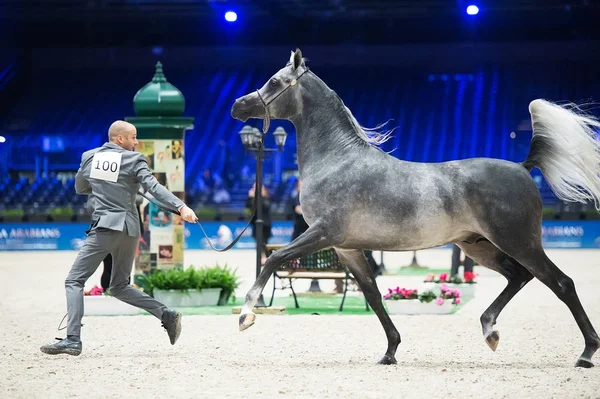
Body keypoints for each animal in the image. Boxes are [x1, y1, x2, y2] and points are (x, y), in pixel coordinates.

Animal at [230, 48, 600, 368]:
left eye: (275, 82)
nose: (237, 106)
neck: (337, 160)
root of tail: (523, 168)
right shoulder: (346, 248)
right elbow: (373, 295)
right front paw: (390, 351)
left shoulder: (322, 233)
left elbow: (273, 259)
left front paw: (246, 314)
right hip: (479, 246)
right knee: (519, 276)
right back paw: (490, 330)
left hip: (520, 242)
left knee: (561, 283)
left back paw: (585, 353)